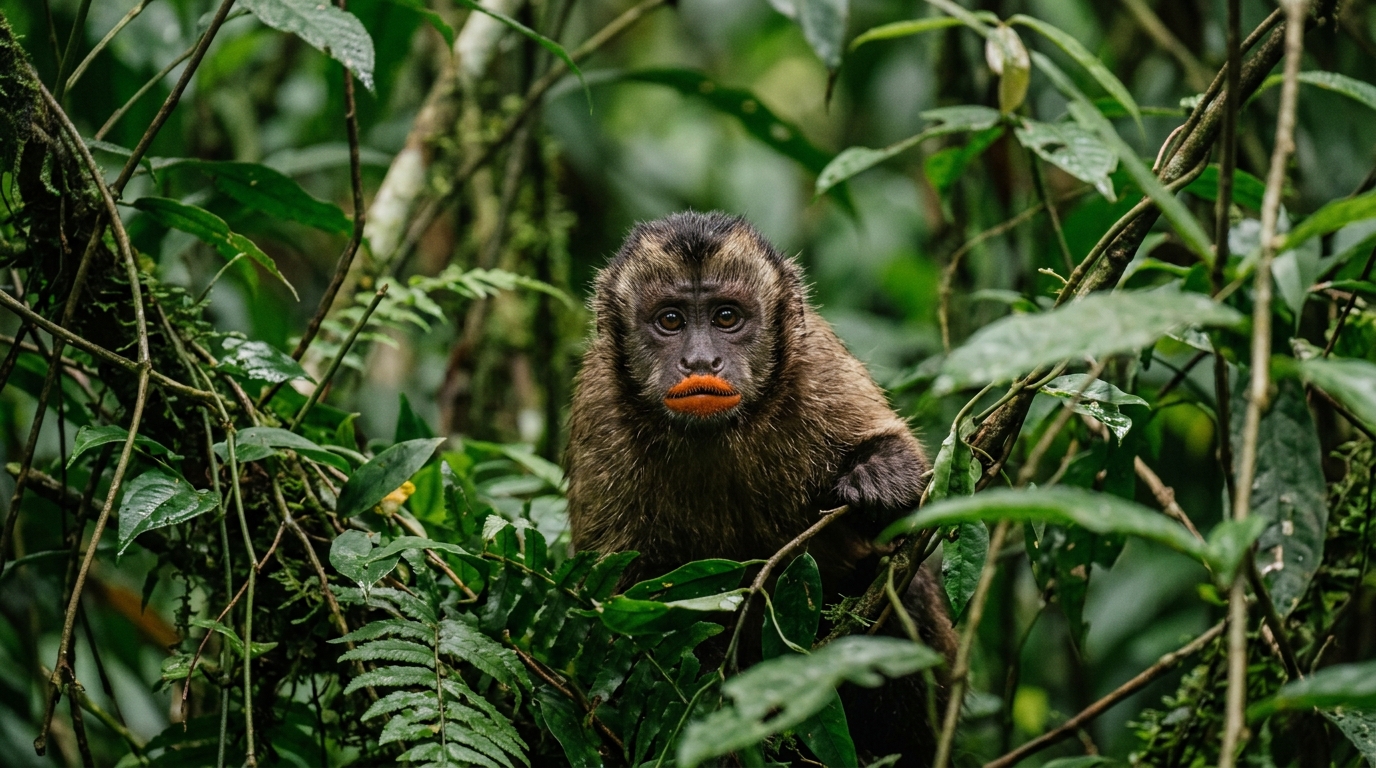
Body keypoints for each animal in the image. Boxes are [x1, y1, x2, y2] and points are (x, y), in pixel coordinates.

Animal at [565, 211, 956, 766]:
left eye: (727, 318)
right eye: (670, 321)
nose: (700, 362)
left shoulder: (816, 363)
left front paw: (882, 478)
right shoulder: (599, 408)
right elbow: (617, 610)